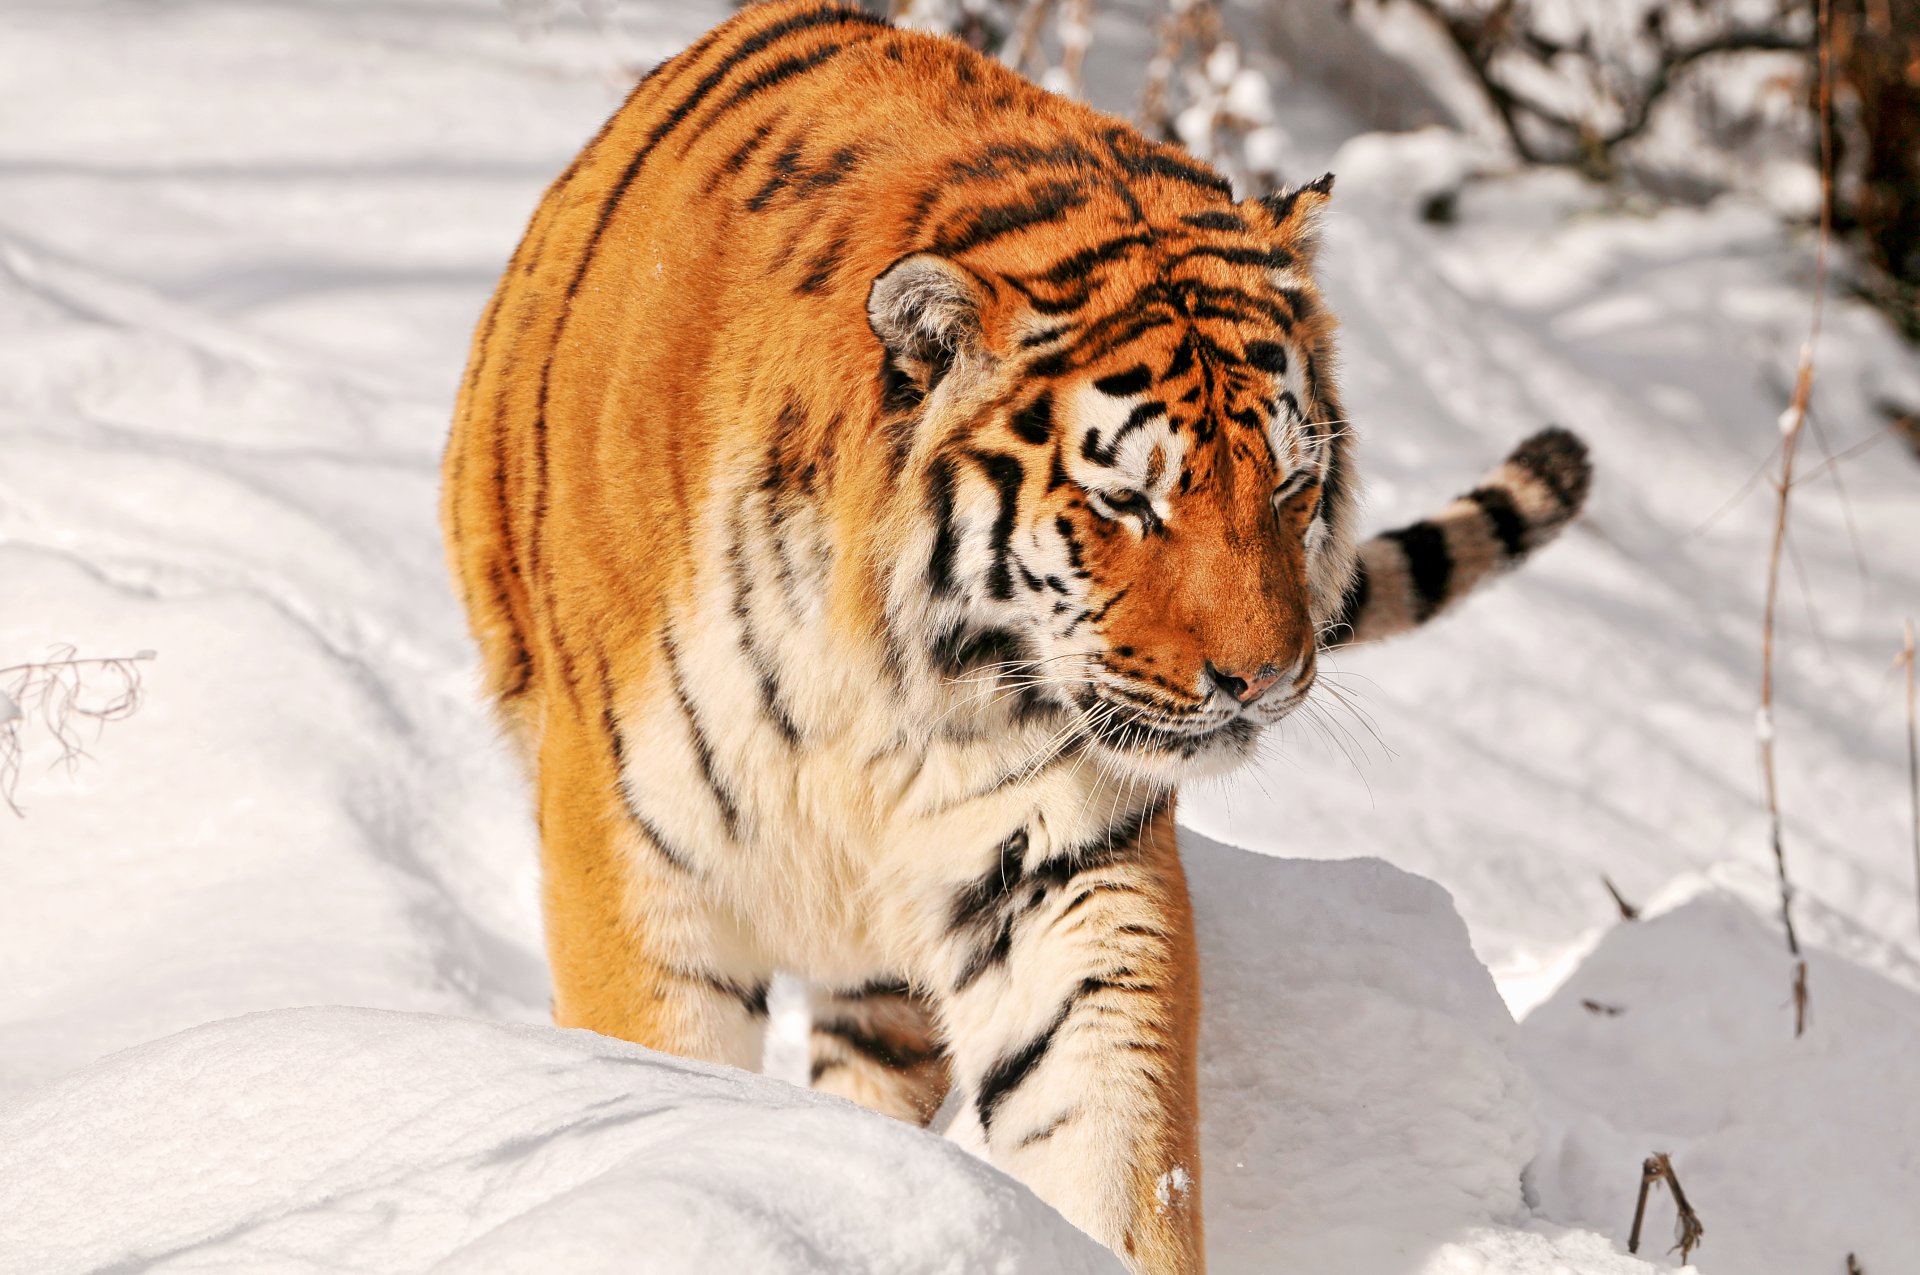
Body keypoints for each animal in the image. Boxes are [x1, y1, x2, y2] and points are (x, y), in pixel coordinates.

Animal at [439, 4, 1592, 1270]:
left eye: (1293, 486)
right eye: (1128, 501)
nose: (1264, 680)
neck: (881, 677)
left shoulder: (1055, 864)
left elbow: (1110, 1132)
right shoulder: (636, 859)